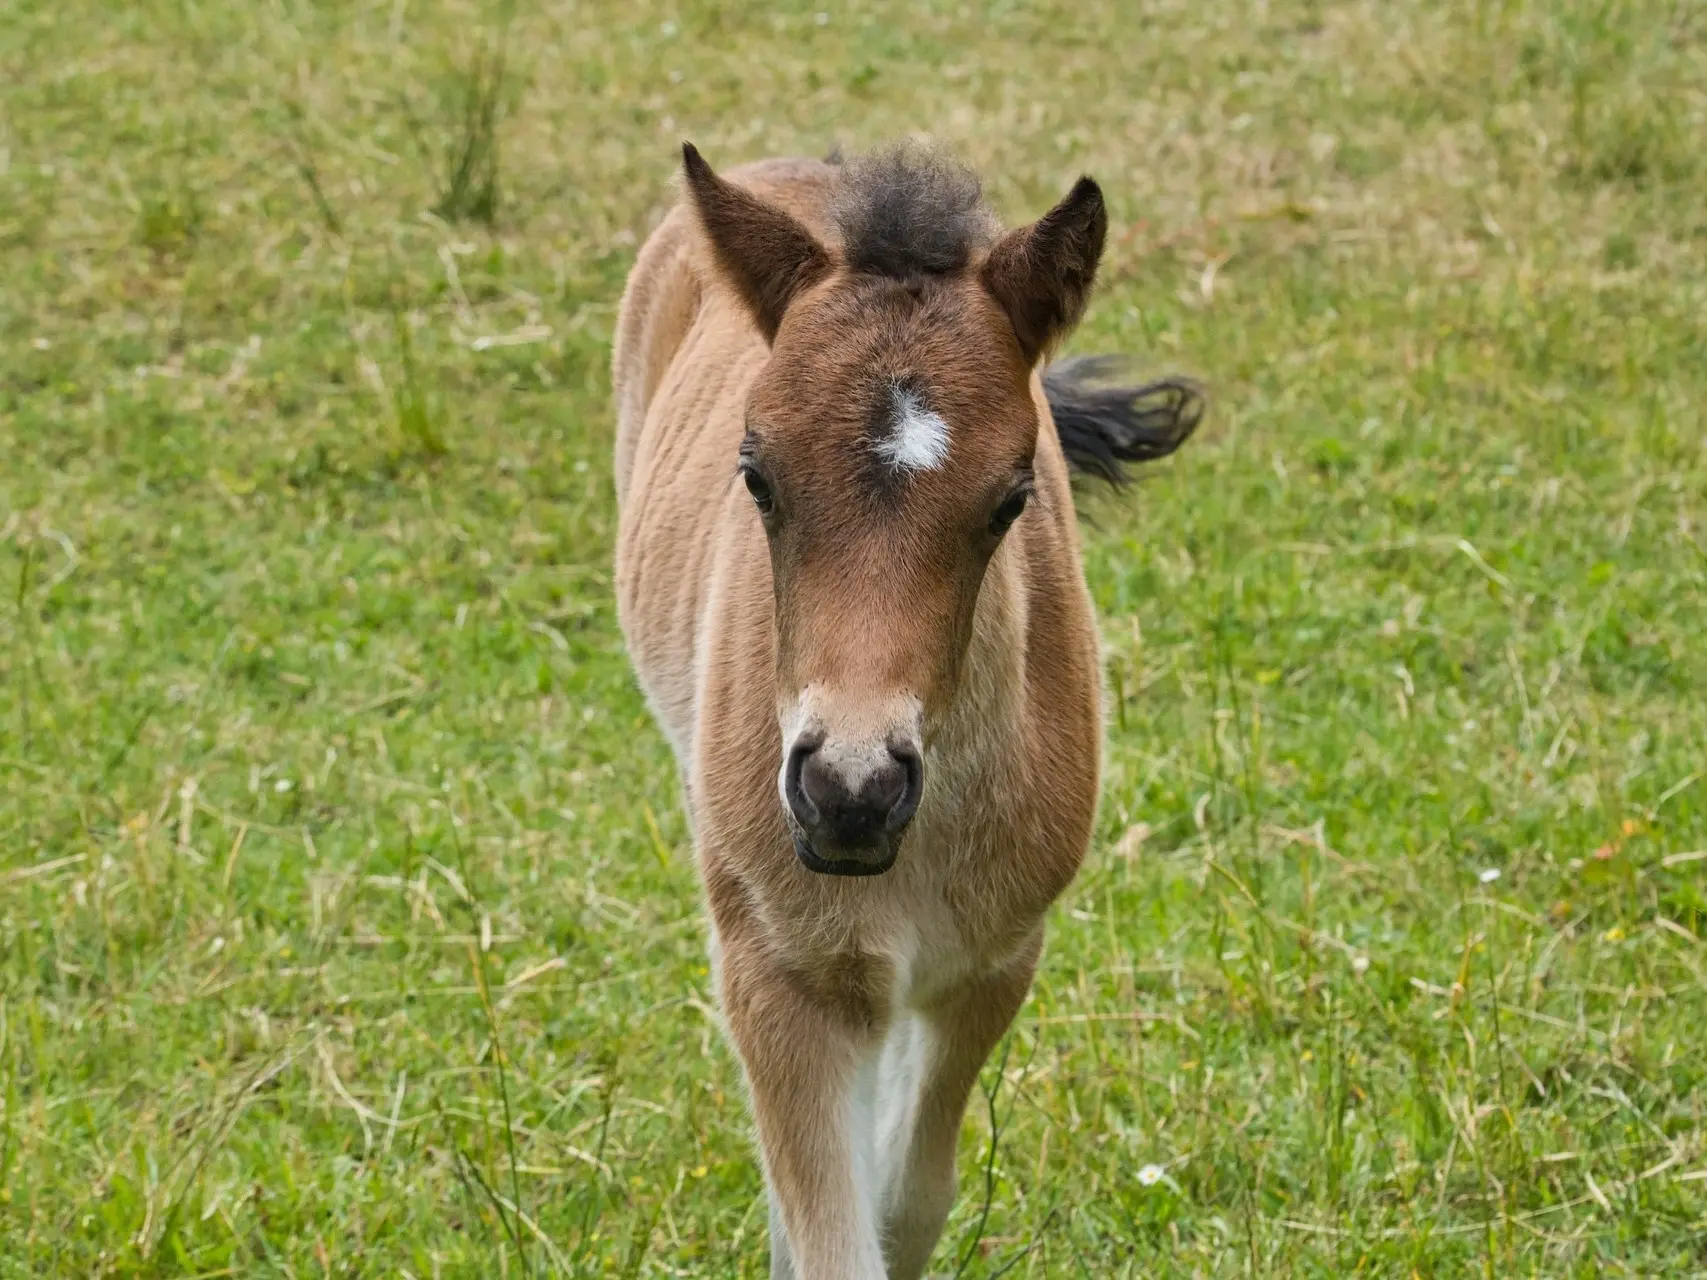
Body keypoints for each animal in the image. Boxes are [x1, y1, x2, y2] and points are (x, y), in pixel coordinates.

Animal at [614, 142, 1201, 1280]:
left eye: (1012, 498)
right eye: (755, 475)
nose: (851, 790)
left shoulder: (993, 963)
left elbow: (906, 1202)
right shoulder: (777, 971)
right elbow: (829, 1229)